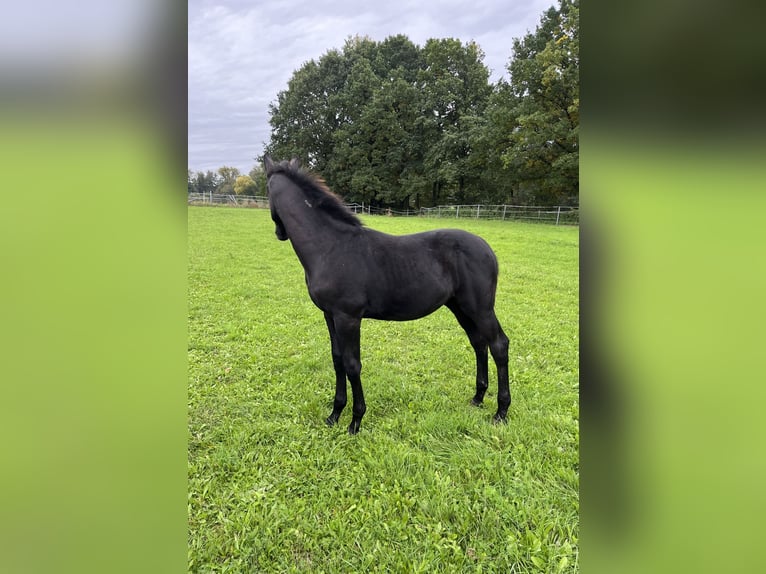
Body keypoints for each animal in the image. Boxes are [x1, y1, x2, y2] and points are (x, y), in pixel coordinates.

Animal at [264, 156, 510, 434]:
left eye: (267, 192)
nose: (279, 233)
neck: (330, 247)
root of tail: (487, 248)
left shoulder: (348, 317)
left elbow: (352, 364)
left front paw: (355, 421)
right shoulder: (330, 315)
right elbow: (337, 360)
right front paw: (334, 414)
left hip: (481, 308)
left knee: (499, 345)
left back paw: (501, 412)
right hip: (460, 307)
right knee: (479, 343)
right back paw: (478, 397)